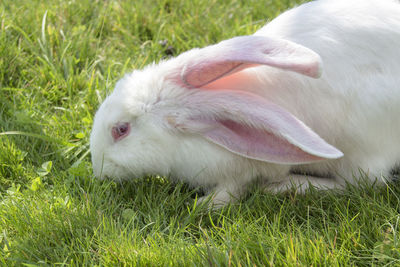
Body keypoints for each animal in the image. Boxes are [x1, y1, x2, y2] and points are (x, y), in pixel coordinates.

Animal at [90, 0, 400, 207]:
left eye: (121, 130)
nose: (98, 170)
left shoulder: (241, 168)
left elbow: (232, 190)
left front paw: (203, 206)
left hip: (362, 145)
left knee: (361, 183)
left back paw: (286, 187)